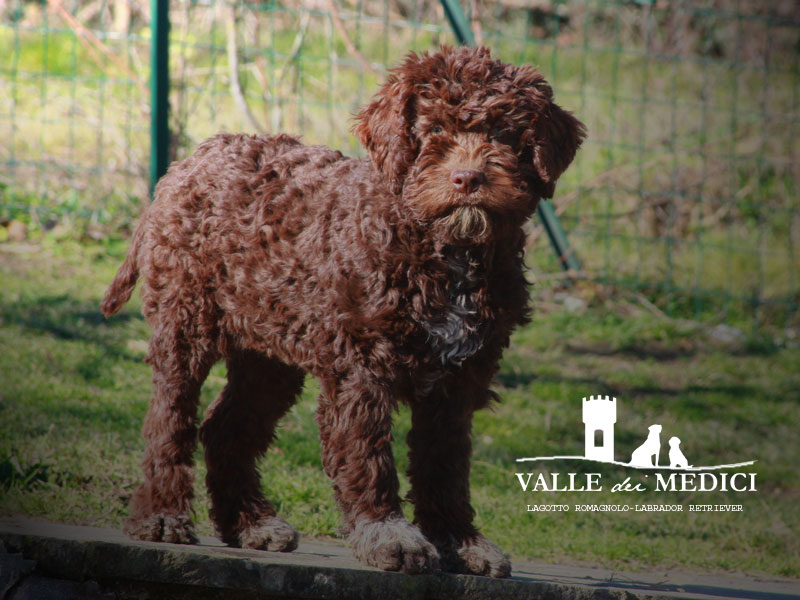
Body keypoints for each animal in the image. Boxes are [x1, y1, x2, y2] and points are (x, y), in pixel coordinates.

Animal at [101, 45, 584, 577]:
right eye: (434, 129)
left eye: (504, 132)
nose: (468, 178)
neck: (444, 250)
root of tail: (186, 163)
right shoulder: (363, 366)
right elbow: (368, 455)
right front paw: (389, 535)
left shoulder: (460, 381)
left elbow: (446, 468)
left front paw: (462, 543)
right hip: (186, 323)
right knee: (169, 420)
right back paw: (162, 516)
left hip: (269, 349)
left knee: (226, 428)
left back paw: (252, 525)